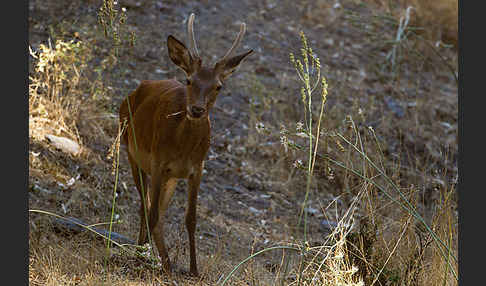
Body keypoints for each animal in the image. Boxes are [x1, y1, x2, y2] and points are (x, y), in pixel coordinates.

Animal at [119, 12, 252, 276]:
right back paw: (147, 253)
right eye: (189, 80)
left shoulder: (197, 169)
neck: (182, 149)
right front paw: (143, 259)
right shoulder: (158, 162)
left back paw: (164, 260)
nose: (197, 109)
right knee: (145, 207)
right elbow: (151, 213)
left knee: (158, 210)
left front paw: (194, 269)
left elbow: (191, 218)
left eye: (218, 86)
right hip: (131, 152)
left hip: (169, 177)